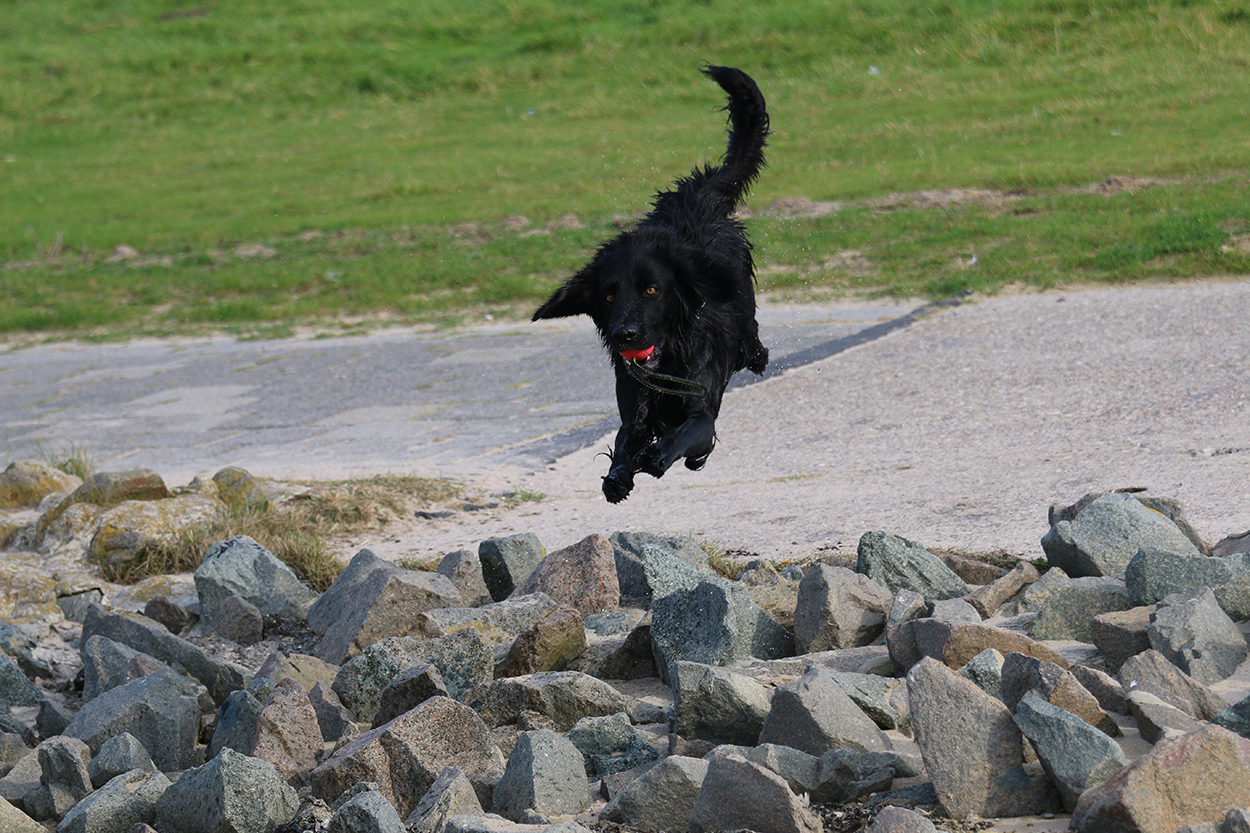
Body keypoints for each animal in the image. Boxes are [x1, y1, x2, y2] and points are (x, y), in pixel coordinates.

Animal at [532, 65, 770, 503]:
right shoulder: (633, 406)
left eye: (651, 290)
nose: (625, 334)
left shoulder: (702, 405)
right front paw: (618, 476)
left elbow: (690, 431)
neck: (668, 357)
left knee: (752, 342)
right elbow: (625, 440)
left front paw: (661, 456)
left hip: (744, 321)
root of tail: (695, 197)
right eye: (609, 295)